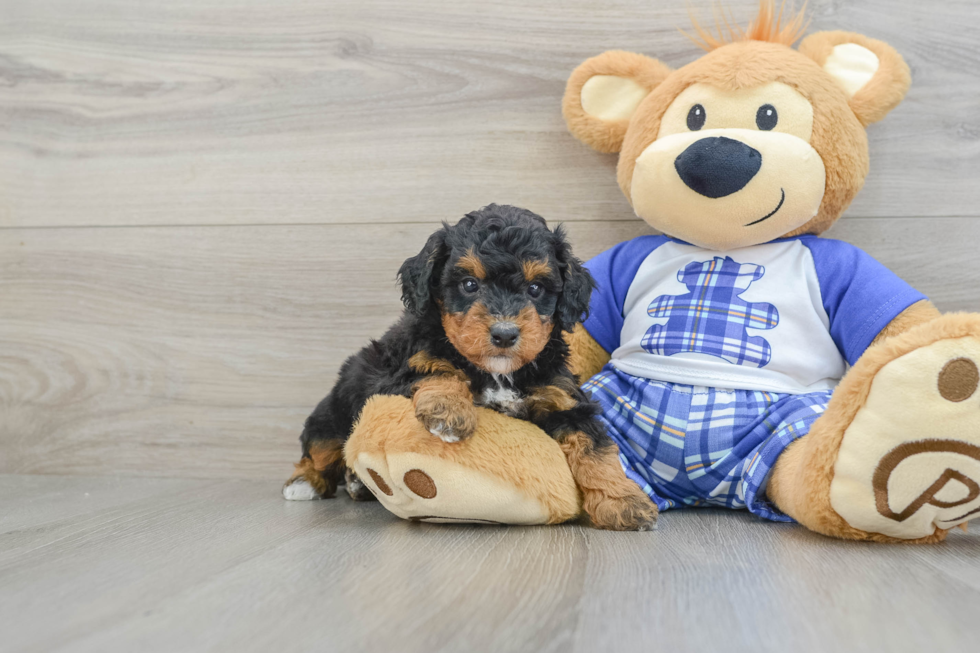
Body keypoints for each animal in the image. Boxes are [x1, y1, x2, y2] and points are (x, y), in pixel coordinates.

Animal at [284, 204, 660, 528]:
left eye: (536, 288)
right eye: (469, 284)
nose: (505, 334)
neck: (498, 371)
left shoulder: (564, 398)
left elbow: (596, 448)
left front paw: (623, 502)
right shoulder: (396, 376)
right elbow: (437, 369)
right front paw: (449, 410)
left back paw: (357, 483)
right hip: (334, 414)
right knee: (318, 450)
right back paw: (306, 481)